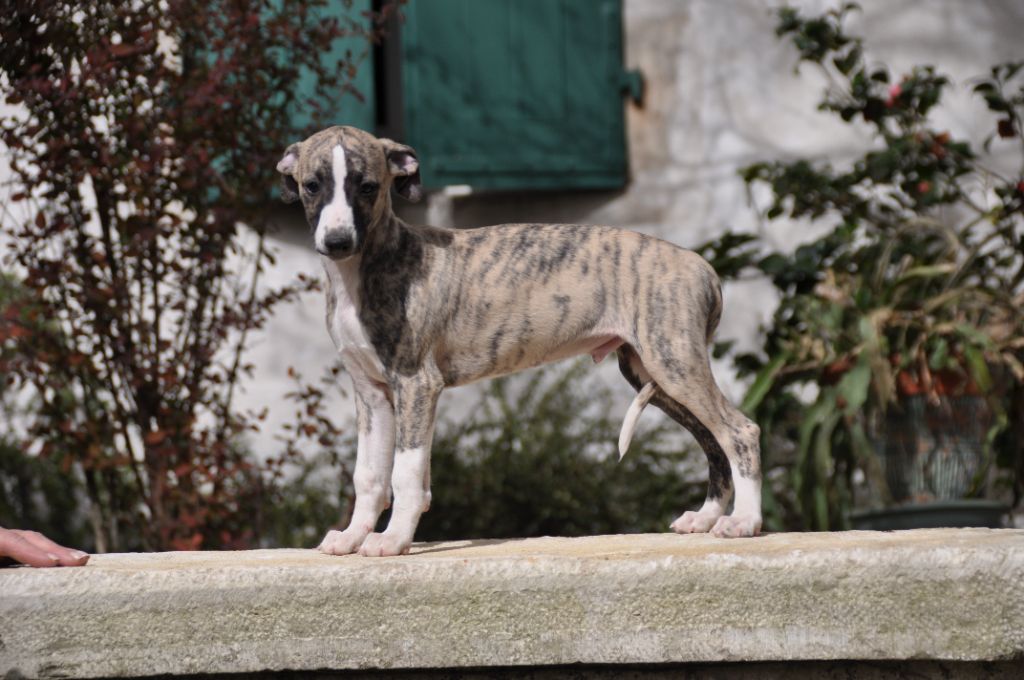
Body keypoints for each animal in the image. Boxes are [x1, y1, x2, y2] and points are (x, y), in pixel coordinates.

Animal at [276, 126, 762, 557]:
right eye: (312, 185)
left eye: (368, 187)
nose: (338, 241)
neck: (366, 269)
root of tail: (701, 265)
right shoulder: (373, 394)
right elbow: (369, 476)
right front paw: (352, 537)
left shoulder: (416, 384)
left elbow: (405, 474)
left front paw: (393, 541)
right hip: (650, 371)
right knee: (713, 441)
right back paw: (706, 517)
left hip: (673, 363)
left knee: (740, 431)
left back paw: (744, 522)